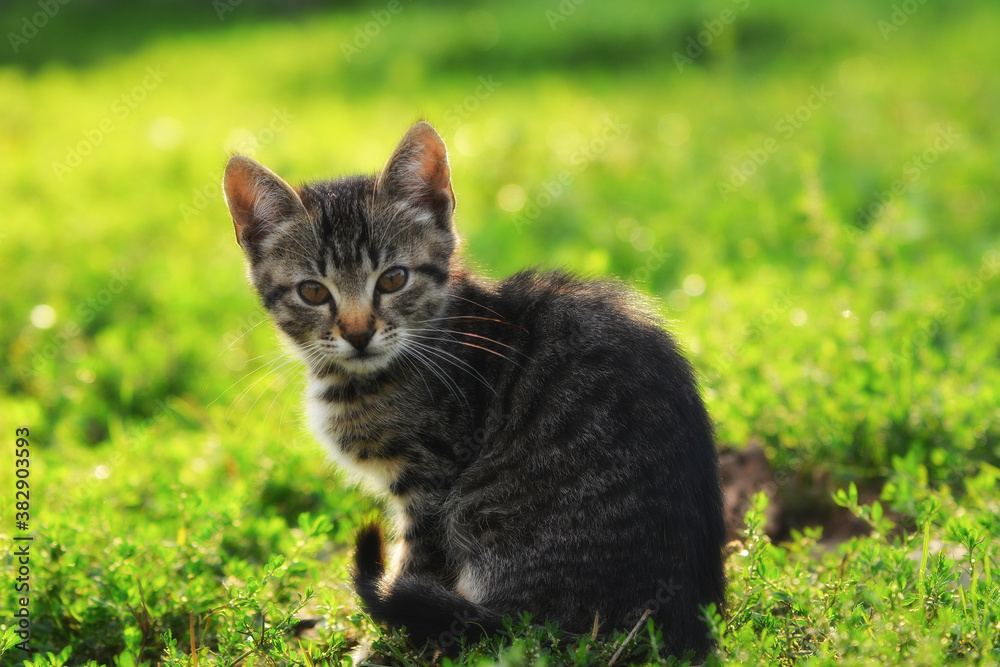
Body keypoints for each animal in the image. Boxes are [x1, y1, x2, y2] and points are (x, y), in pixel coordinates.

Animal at [223, 120, 728, 656]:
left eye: (393, 279)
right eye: (313, 291)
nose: (358, 334)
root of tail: (681, 626)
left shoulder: (432, 482)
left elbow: (414, 565)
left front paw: (382, 646)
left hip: (482, 520)